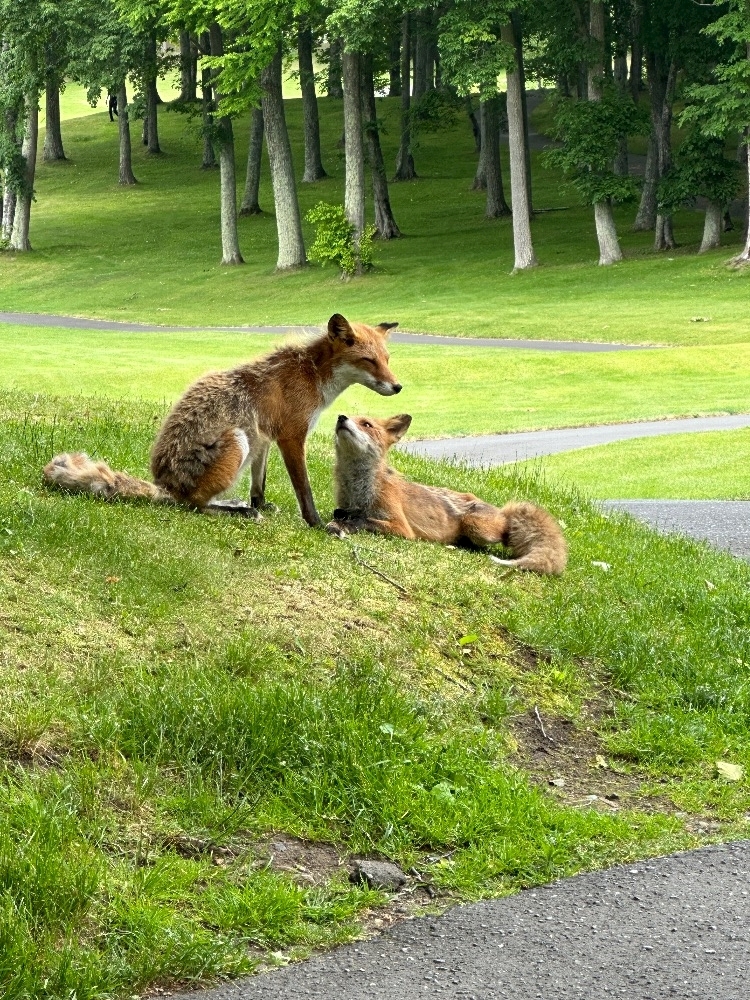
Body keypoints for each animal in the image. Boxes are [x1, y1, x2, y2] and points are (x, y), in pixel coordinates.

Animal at [43, 316, 402, 528]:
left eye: (387, 359)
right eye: (369, 361)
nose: (398, 387)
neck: (312, 375)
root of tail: (165, 484)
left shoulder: (265, 438)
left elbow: (259, 484)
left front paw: (262, 503)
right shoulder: (291, 436)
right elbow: (305, 490)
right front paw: (318, 525)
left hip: (246, 442)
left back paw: (237, 504)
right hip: (237, 440)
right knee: (194, 505)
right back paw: (237, 512)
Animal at [328, 410, 568, 576]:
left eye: (366, 424)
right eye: (350, 415)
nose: (340, 417)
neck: (359, 490)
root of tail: (501, 510)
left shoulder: (401, 528)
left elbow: (365, 520)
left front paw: (347, 524)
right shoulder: (343, 505)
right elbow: (342, 514)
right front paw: (340, 523)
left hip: (475, 525)